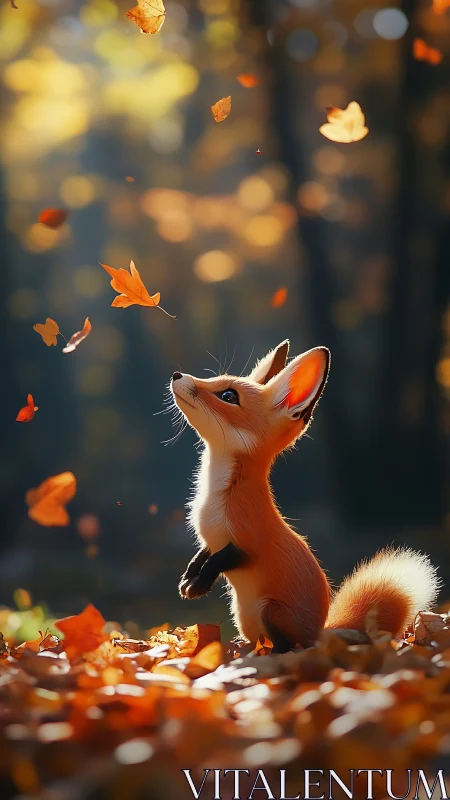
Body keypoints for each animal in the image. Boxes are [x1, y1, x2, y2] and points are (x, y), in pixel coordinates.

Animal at [170, 340, 440, 653]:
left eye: (228, 395)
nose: (177, 375)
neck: (215, 498)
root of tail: (321, 630)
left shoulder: (245, 543)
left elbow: (216, 562)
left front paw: (198, 585)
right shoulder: (210, 540)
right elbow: (200, 557)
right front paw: (187, 581)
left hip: (270, 612)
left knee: (292, 646)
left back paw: (273, 652)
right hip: (244, 616)